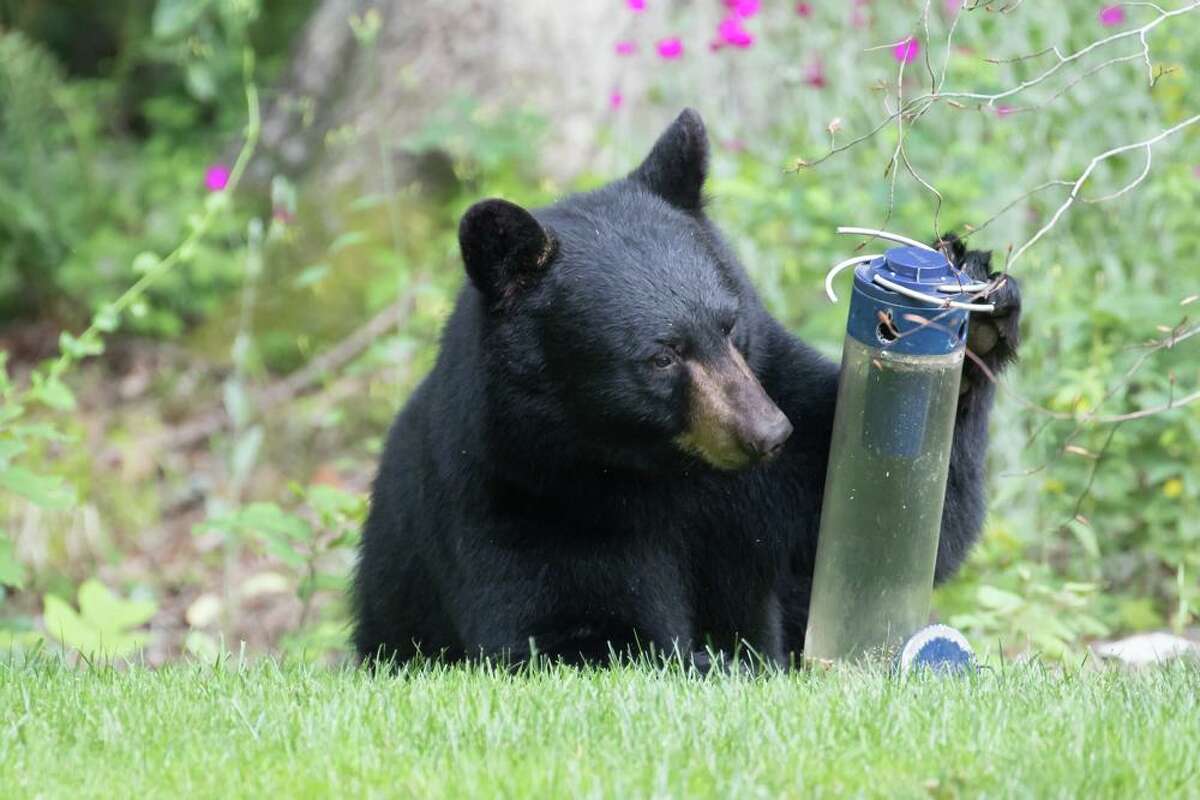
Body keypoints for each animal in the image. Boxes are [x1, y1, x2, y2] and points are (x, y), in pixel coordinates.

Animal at [350, 107, 1017, 671]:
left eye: (729, 324)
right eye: (661, 356)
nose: (766, 433)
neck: (660, 469)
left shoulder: (775, 430)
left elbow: (888, 518)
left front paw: (974, 306)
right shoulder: (517, 497)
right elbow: (566, 630)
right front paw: (714, 661)